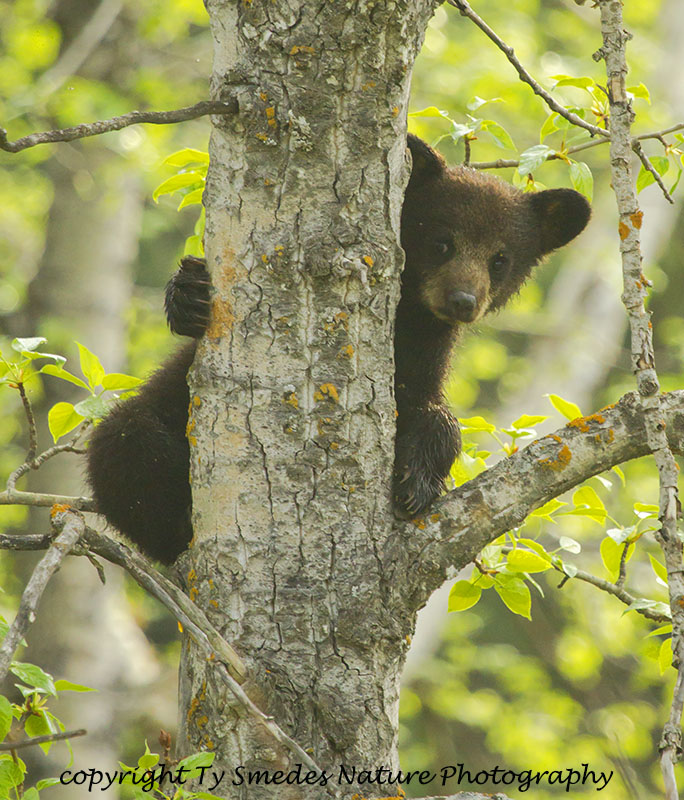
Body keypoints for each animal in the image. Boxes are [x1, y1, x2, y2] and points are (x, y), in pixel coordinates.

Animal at [86, 135, 590, 563]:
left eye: (500, 259)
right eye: (442, 242)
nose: (463, 301)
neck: (406, 318)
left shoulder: (421, 357)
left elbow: (432, 411)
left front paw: (417, 480)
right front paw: (189, 296)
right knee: (127, 441)